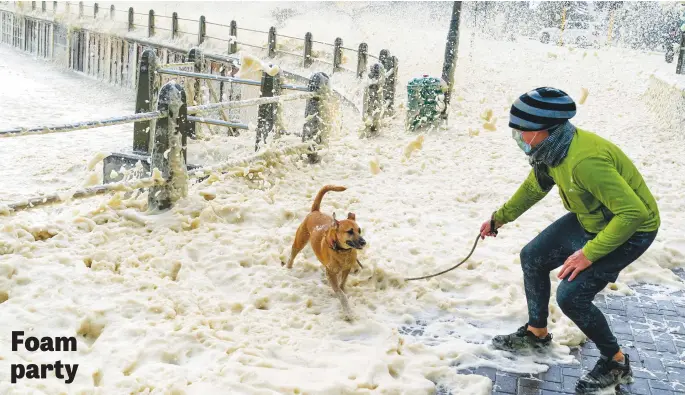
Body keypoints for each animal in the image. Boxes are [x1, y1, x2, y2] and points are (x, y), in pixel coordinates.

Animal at [282, 185, 366, 318]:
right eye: (350, 231)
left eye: (359, 230)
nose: (364, 242)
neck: (343, 252)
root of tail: (315, 211)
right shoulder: (330, 273)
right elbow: (341, 294)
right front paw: (347, 311)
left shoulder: (347, 268)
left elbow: (342, 284)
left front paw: (342, 289)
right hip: (300, 240)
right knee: (293, 254)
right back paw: (288, 268)